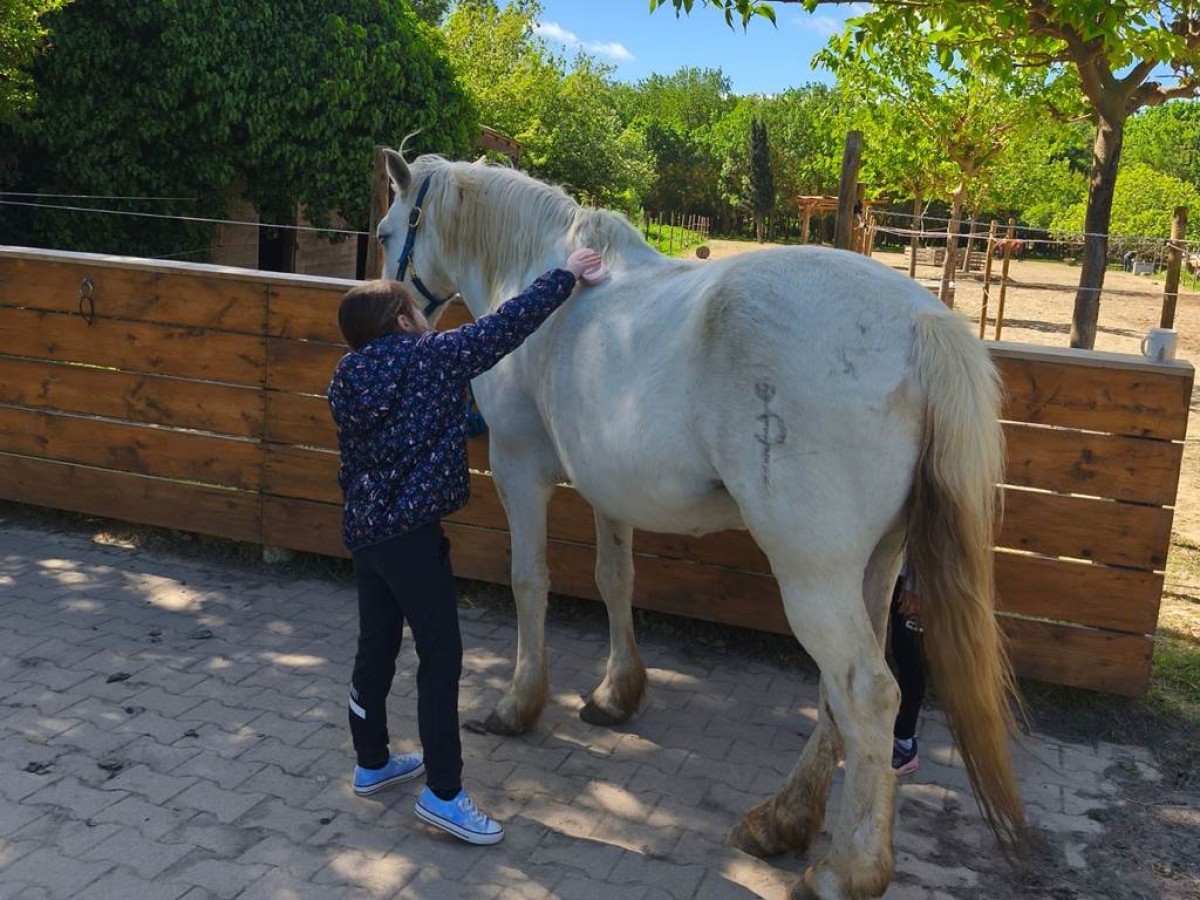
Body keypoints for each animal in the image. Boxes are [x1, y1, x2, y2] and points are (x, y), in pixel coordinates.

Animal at [375, 151, 1025, 900]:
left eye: (388, 229)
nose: (394, 308)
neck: (540, 279)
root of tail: (921, 322)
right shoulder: (609, 488)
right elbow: (615, 580)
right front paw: (617, 693)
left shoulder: (519, 470)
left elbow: (529, 582)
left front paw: (518, 704)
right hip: (874, 566)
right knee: (838, 699)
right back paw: (782, 821)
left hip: (813, 577)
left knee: (866, 694)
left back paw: (847, 869)